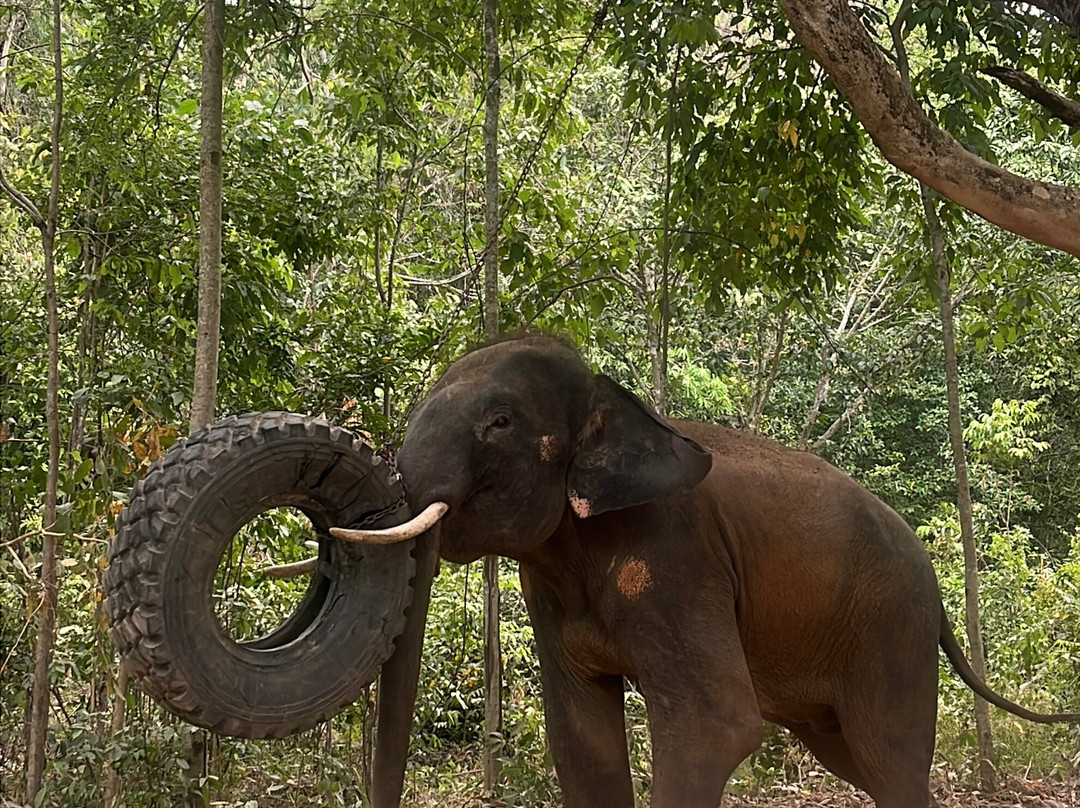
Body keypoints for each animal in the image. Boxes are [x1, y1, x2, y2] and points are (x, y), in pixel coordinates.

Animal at [330, 335, 1079, 808]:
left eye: (499, 422)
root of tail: (938, 590)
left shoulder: (677, 559)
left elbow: (715, 724)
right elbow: (580, 738)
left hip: (890, 629)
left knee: (889, 758)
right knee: (856, 757)